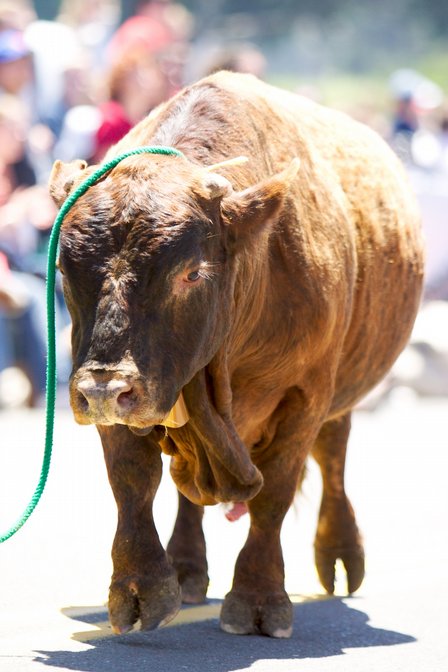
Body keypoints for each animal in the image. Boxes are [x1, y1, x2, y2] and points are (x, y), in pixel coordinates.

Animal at [49, 71, 424, 638]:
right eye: (65, 270)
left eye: (191, 272)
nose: (104, 390)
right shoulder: (122, 397)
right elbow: (133, 481)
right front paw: (141, 587)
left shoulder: (305, 396)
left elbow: (275, 494)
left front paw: (259, 598)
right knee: (187, 487)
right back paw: (186, 569)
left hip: (338, 395)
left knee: (333, 456)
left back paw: (340, 554)